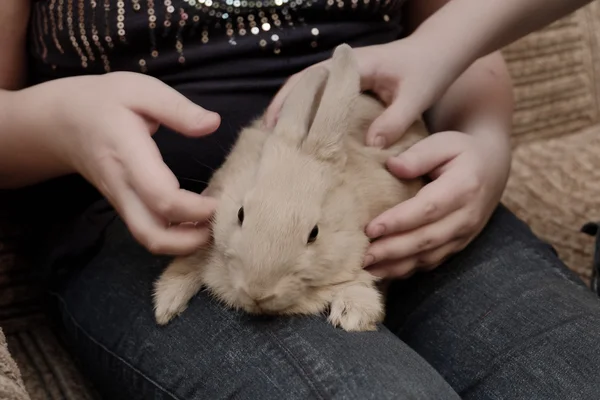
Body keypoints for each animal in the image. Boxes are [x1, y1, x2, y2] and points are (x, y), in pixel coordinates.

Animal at [152, 43, 428, 332]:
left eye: (314, 233)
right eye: (240, 214)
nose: (258, 293)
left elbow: (360, 279)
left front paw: (354, 315)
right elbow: (191, 258)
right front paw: (166, 305)